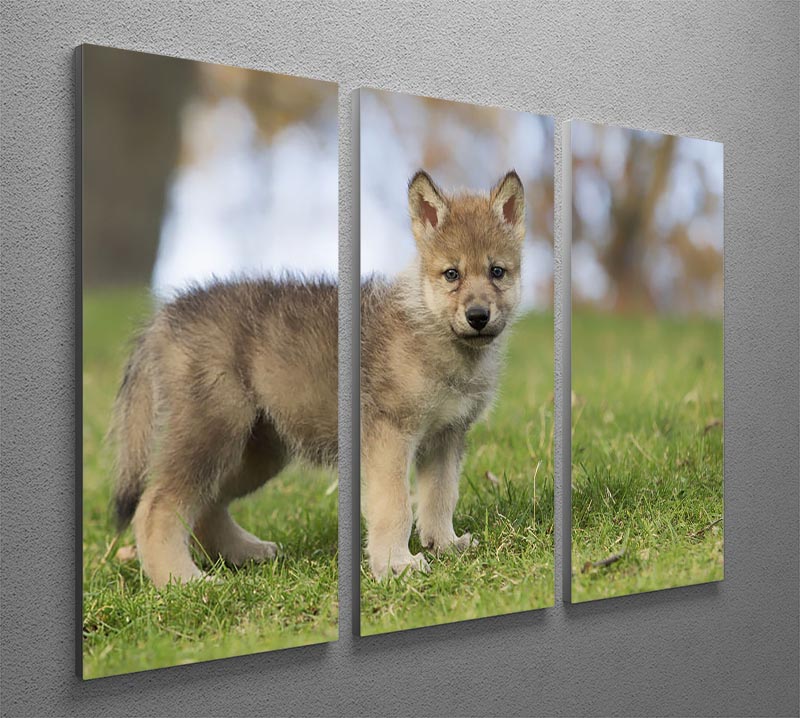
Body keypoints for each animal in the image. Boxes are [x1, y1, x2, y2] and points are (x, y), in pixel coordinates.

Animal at [111, 169, 523, 586]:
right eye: (452, 274)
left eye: (497, 272)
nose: (478, 316)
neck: (432, 331)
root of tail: (167, 317)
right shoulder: (390, 434)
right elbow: (395, 506)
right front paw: (396, 565)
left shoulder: (446, 436)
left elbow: (440, 498)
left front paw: (445, 545)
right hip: (213, 433)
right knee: (156, 507)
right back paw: (183, 580)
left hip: (257, 451)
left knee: (205, 507)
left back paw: (245, 553)